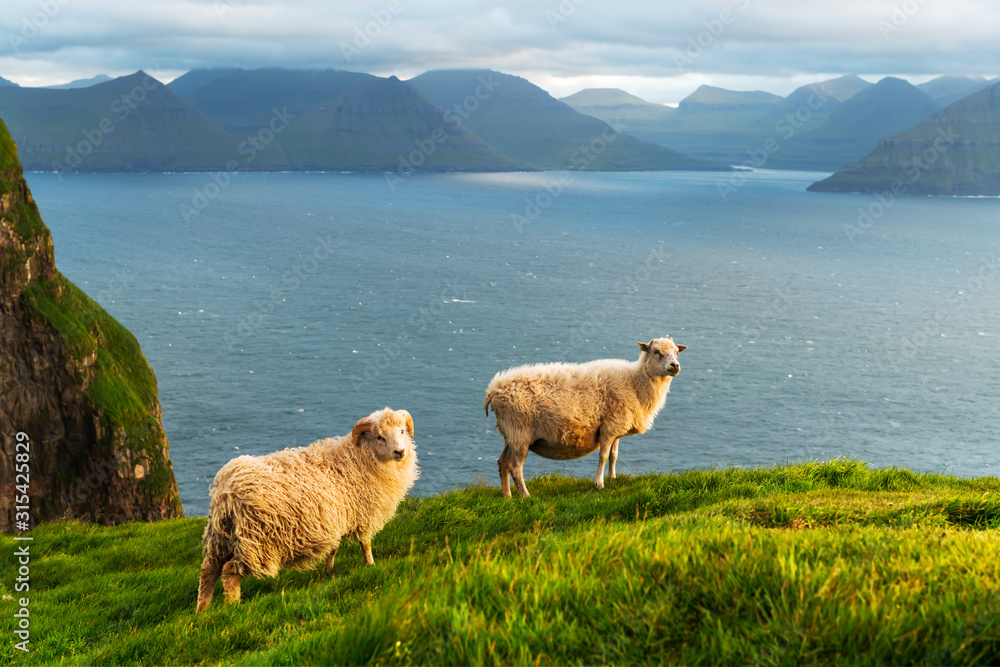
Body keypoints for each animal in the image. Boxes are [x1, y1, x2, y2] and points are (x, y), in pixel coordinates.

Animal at [195, 404, 418, 612]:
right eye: (380, 436)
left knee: (208, 571)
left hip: (220, 536)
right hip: (257, 542)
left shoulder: (336, 518)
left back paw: (203, 610)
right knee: (229, 571)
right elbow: (366, 543)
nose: (400, 452)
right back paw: (232, 605)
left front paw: (327, 571)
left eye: (402, 431)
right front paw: (371, 565)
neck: (359, 457)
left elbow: (334, 547)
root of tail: (226, 489)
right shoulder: (364, 514)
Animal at [484, 340, 688, 496]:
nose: (675, 366)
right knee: (516, 467)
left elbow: (614, 456)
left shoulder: (616, 428)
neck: (635, 383)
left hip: (510, 434)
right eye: (656, 351)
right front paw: (599, 484)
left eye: (677, 352)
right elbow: (603, 456)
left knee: (502, 462)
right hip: (520, 433)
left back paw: (507, 496)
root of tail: (493, 391)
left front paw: (612, 478)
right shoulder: (609, 428)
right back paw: (525, 495)